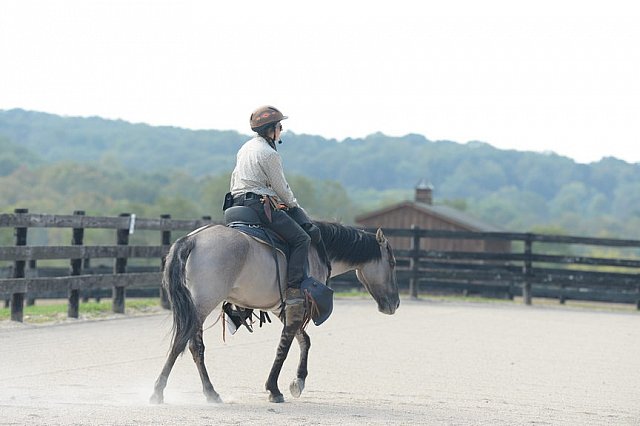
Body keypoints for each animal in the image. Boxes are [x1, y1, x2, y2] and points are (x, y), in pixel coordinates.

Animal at [151, 221, 400, 404]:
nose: (395, 304)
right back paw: (160, 392)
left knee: (194, 347)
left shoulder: (285, 307)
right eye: (392, 263)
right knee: (184, 343)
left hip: (197, 307)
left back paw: (207, 393)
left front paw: (298, 381)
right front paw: (275, 388)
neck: (318, 250)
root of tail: (192, 239)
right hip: (203, 304)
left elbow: (303, 340)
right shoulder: (298, 305)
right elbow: (285, 345)